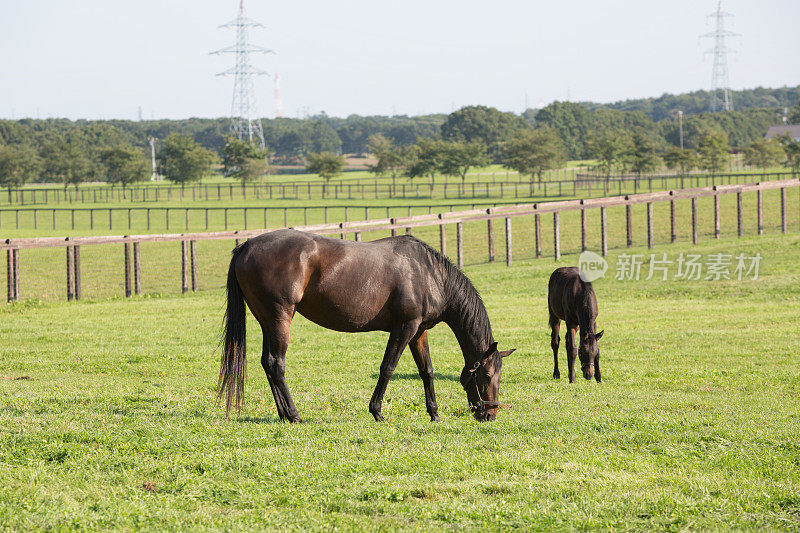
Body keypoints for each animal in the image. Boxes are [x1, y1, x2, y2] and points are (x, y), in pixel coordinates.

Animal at [219, 229, 516, 420]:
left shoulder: (419, 332)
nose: (490, 414)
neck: (429, 274)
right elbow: (387, 368)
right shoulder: (404, 328)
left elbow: (427, 372)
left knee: (268, 363)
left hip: (268, 321)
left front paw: (434, 414)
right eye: (487, 376)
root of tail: (247, 245)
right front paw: (377, 412)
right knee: (277, 364)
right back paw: (293, 415)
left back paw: (283, 414)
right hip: (281, 318)